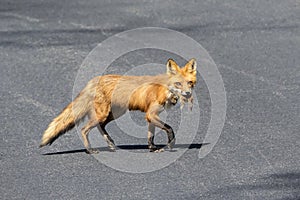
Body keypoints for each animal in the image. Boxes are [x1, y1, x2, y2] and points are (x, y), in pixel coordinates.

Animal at [39, 58, 197, 153]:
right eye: (178, 83)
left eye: (189, 83)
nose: (188, 93)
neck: (165, 88)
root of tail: (93, 81)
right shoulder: (151, 114)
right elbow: (169, 128)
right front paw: (170, 144)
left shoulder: (151, 116)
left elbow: (150, 135)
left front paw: (152, 148)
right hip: (104, 114)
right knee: (84, 129)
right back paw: (90, 150)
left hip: (114, 113)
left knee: (100, 126)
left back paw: (110, 143)